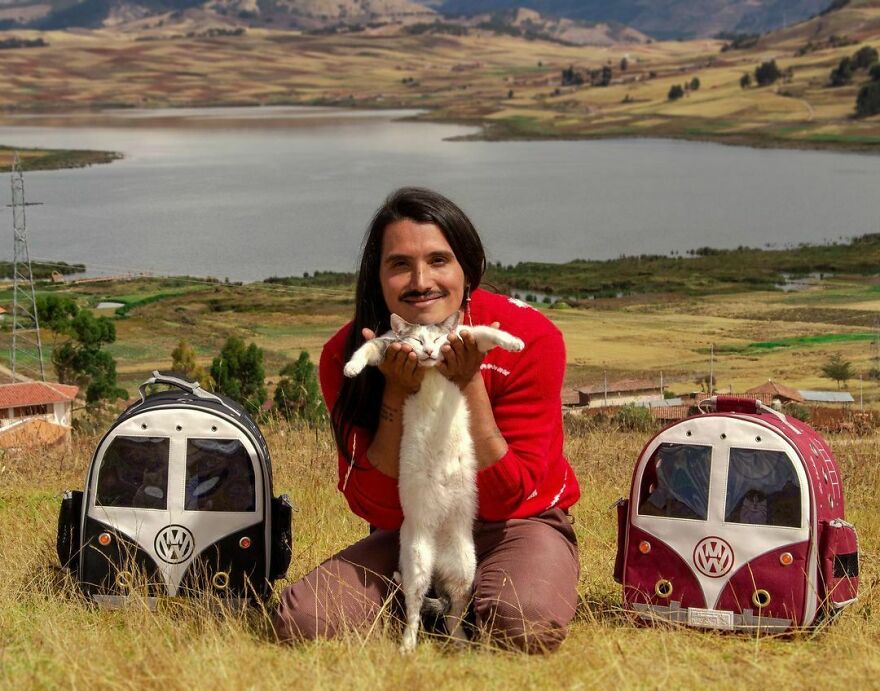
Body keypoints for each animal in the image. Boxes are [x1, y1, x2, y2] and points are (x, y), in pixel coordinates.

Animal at [342, 314, 524, 656]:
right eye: (416, 341)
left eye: (438, 340)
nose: (427, 350)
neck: (429, 370)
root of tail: (438, 555)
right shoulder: (388, 345)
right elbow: (367, 348)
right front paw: (351, 367)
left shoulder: (464, 336)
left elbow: (484, 333)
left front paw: (513, 342)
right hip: (416, 567)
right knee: (414, 612)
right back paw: (408, 646)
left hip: (464, 573)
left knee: (453, 616)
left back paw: (463, 645)